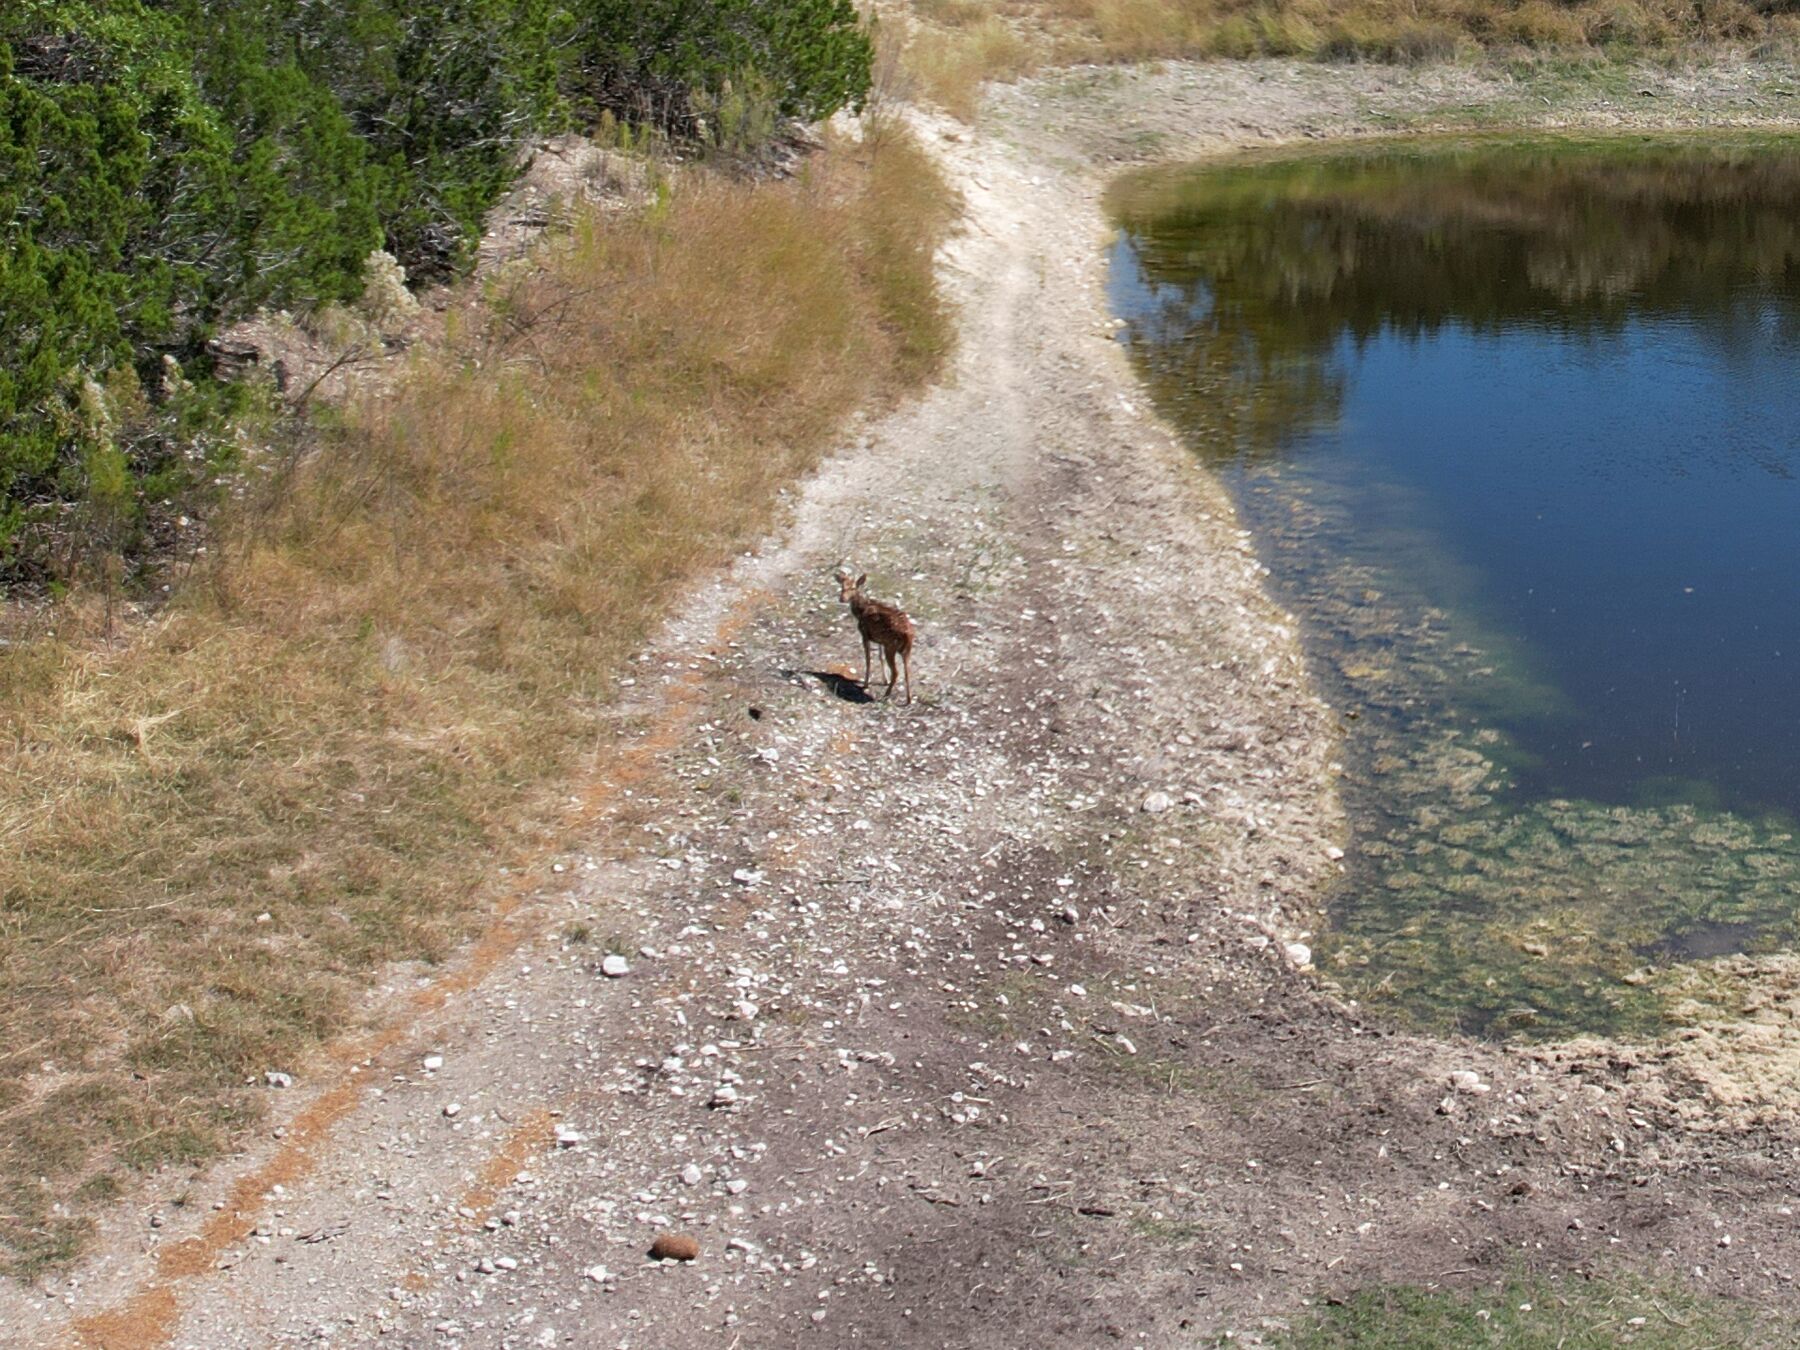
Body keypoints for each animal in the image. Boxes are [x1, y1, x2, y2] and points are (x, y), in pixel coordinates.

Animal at [834, 565, 915, 705]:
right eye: (842, 587)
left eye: (853, 588)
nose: (842, 598)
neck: (860, 611)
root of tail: (908, 634)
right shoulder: (880, 640)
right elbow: (879, 657)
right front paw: (884, 680)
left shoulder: (865, 634)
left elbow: (868, 660)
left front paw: (865, 684)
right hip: (906, 649)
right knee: (908, 671)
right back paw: (908, 699)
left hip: (891, 646)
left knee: (896, 672)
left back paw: (886, 695)